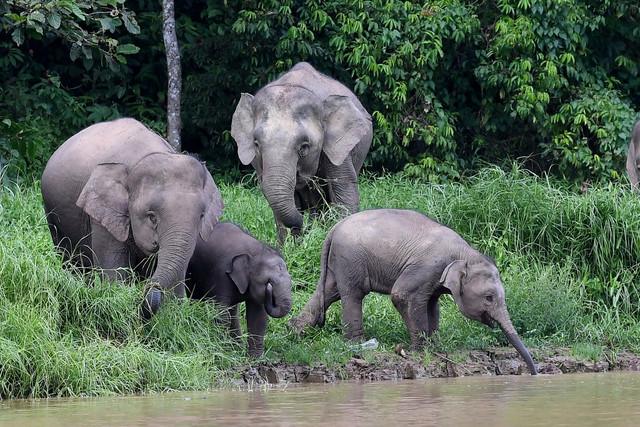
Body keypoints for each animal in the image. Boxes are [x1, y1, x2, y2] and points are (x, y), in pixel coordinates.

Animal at [40, 117, 225, 318]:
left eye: (201, 216)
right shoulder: (103, 216)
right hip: (53, 216)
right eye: (152, 217)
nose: (150, 288)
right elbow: (114, 273)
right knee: (72, 263)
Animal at [186, 222, 294, 360]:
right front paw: (224, 352)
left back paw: (237, 346)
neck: (253, 251)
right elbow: (221, 313)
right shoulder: (221, 274)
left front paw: (254, 359)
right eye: (269, 282)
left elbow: (258, 316)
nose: (269, 290)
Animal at [230, 62, 372, 246]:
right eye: (256, 144)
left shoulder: (338, 147)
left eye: (304, 147)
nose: (303, 227)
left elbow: (344, 188)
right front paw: (288, 247)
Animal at [290, 209, 540, 376]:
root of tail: (334, 228)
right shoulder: (428, 266)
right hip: (350, 258)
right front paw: (419, 350)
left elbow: (432, 304)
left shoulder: (435, 277)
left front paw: (434, 345)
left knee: (330, 291)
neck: (465, 253)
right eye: (489, 297)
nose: (534, 373)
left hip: (340, 261)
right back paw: (356, 343)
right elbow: (401, 295)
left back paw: (296, 331)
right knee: (353, 293)